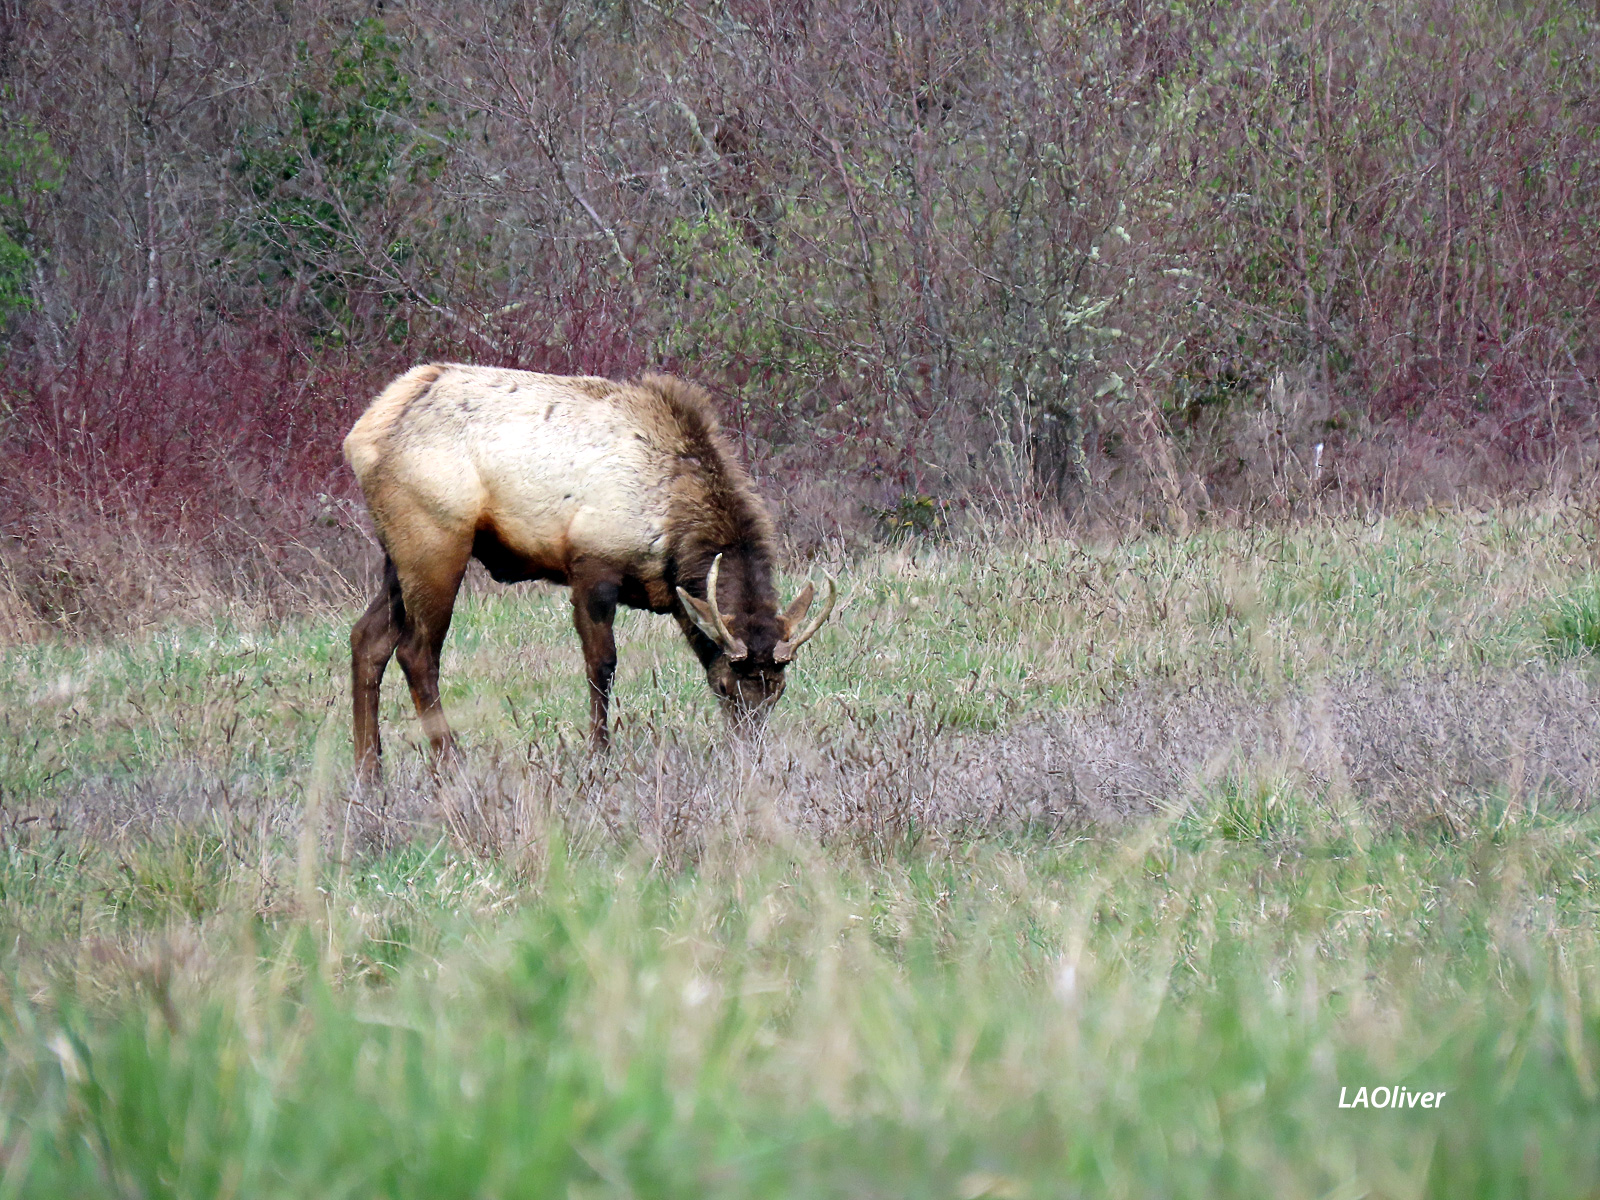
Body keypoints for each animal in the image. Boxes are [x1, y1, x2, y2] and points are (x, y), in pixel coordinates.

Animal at [342, 363, 835, 782]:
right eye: (726, 686)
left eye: (778, 691)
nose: (752, 754)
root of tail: (361, 437)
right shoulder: (591, 565)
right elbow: (602, 666)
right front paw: (599, 757)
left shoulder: (676, 600)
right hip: (435, 542)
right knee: (416, 652)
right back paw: (452, 765)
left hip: (397, 555)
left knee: (368, 638)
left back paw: (370, 773)